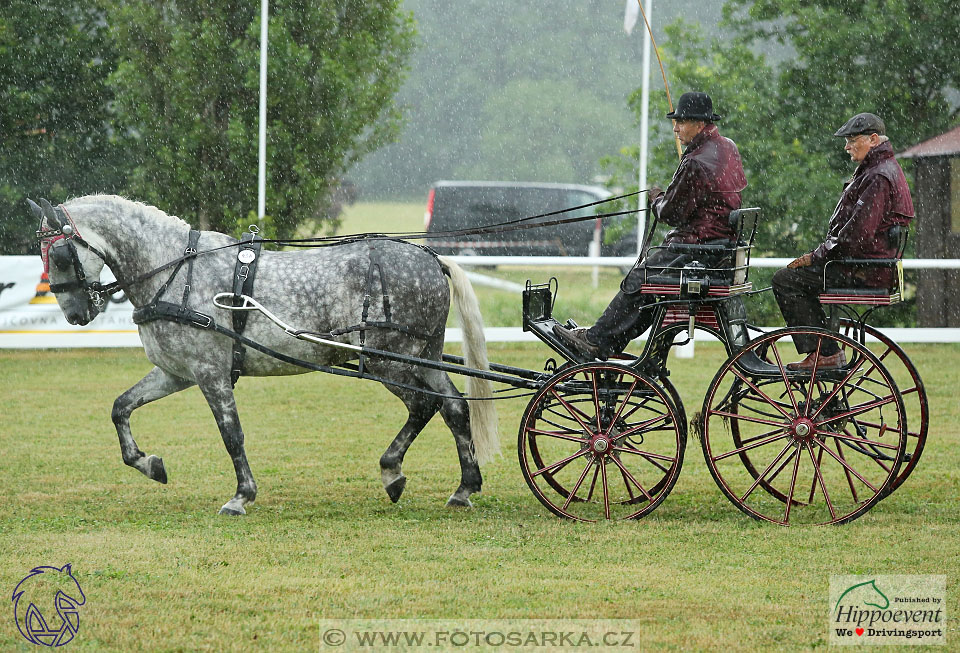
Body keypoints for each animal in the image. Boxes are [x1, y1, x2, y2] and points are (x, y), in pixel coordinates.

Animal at [33, 195, 498, 516]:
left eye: (58, 254)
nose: (74, 314)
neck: (175, 272)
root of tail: (431, 260)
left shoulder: (211, 372)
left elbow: (231, 435)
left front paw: (241, 496)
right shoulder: (176, 372)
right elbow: (121, 408)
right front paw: (148, 464)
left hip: (390, 361)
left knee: (425, 405)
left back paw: (393, 472)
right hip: (422, 356)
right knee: (454, 407)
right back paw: (463, 487)